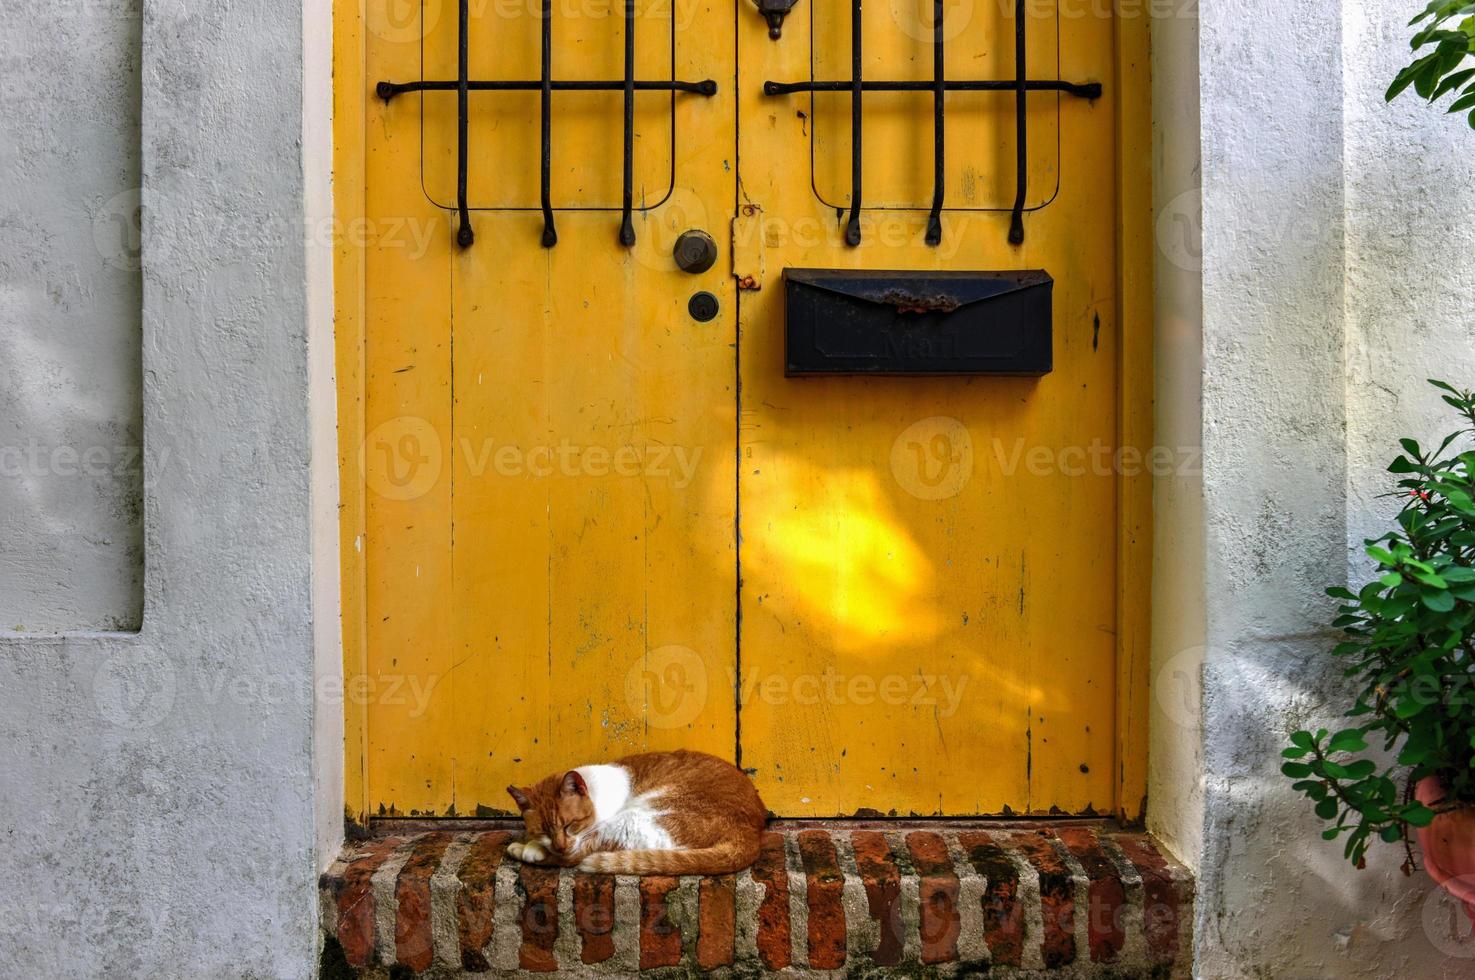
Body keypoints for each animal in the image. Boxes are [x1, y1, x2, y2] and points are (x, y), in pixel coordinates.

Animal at [504, 746, 767, 873]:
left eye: (571, 825)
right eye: (542, 831)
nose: (560, 845)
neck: (596, 791)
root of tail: (751, 836)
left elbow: (574, 850)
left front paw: (530, 846)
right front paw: (532, 842)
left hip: (632, 820)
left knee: (578, 856)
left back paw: (521, 850)